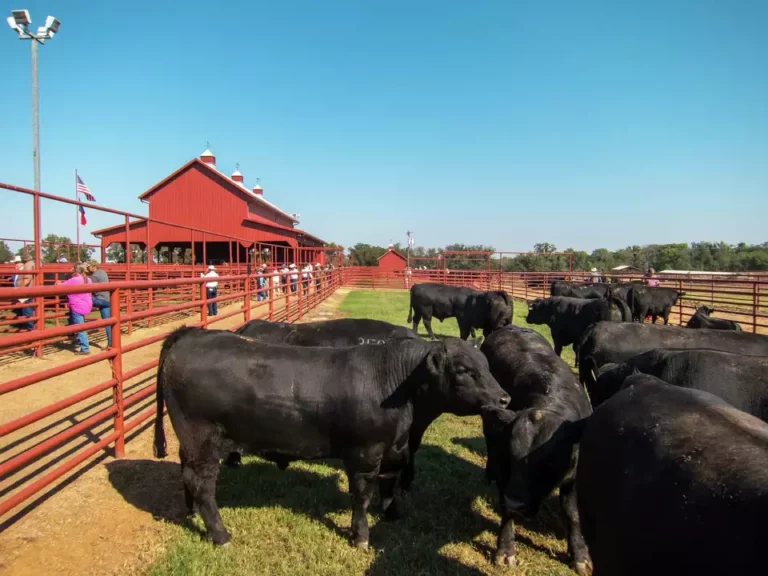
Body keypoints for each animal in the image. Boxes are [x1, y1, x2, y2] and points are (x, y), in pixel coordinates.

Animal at [153, 327, 509, 548]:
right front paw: (361, 535)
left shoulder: (394, 450)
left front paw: (392, 514)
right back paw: (220, 534)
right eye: (464, 370)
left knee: (186, 474)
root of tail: (191, 333)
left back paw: (192, 513)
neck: (393, 382)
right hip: (203, 440)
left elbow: (389, 484)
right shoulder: (365, 452)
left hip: (191, 444)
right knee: (202, 484)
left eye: (487, 364)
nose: (504, 398)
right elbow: (362, 494)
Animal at [479, 327, 592, 575]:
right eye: (511, 455)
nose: (517, 503)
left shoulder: (575, 477)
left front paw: (580, 555)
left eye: (549, 462)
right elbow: (505, 508)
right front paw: (505, 551)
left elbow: (573, 513)